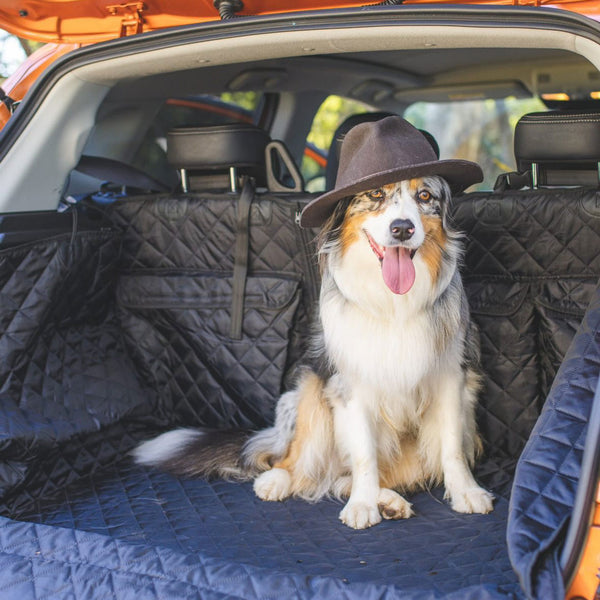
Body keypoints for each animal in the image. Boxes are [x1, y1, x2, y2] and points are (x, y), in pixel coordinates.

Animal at [134, 117, 494, 528]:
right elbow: (365, 454)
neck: (393, 303)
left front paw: (466, 492)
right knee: (304, 465)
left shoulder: (451, 375)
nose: (402, 228)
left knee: (342, 478)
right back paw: (280, 481)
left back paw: (389, 500)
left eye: (424, 197)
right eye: (375, 193)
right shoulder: (351, 383)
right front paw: (362, 505)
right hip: (309, 389)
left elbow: (451, 448)